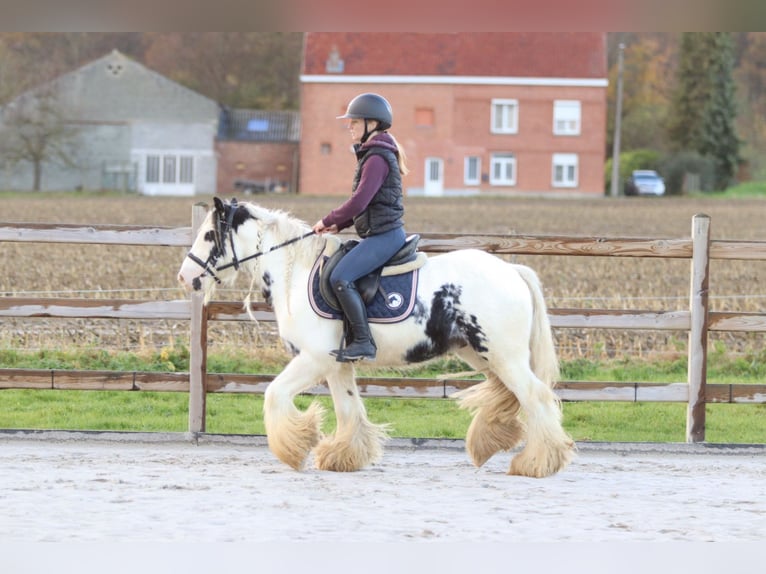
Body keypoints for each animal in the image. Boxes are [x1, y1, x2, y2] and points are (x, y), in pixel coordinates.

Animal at [177, 197, 575, 478]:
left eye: (209, 235)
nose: (185, 277)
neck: (296, 272)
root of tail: (512, 270)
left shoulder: (314, 358)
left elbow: (274, 394)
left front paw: (293, 448)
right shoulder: (336, 364)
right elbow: (349, 408)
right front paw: (342, 456)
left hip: (503, 356)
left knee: (536, 397)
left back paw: (537, 463)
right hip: (482, 354)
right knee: (511, 395)